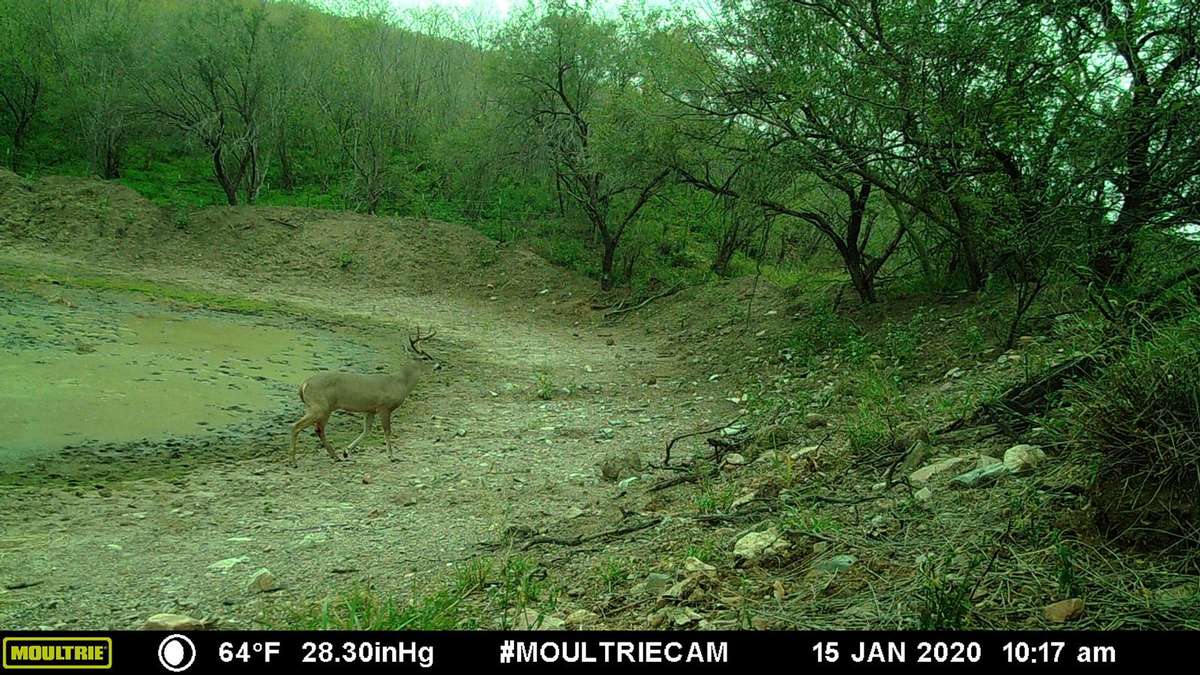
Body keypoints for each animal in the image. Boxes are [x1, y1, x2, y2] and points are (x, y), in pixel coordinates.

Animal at [288, 328, 438, 466]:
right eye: (425, 358)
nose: (439, 365)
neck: (400, 383)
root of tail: (304, 384)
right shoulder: (384, 407)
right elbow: (387, 430)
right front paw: (391, 456)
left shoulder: (370, 409)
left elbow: (367, 430)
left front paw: (346, 451)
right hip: (319, 407)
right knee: (297, 426)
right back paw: (294, 461)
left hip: (321, 408)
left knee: (318, 430)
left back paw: (335, 456)